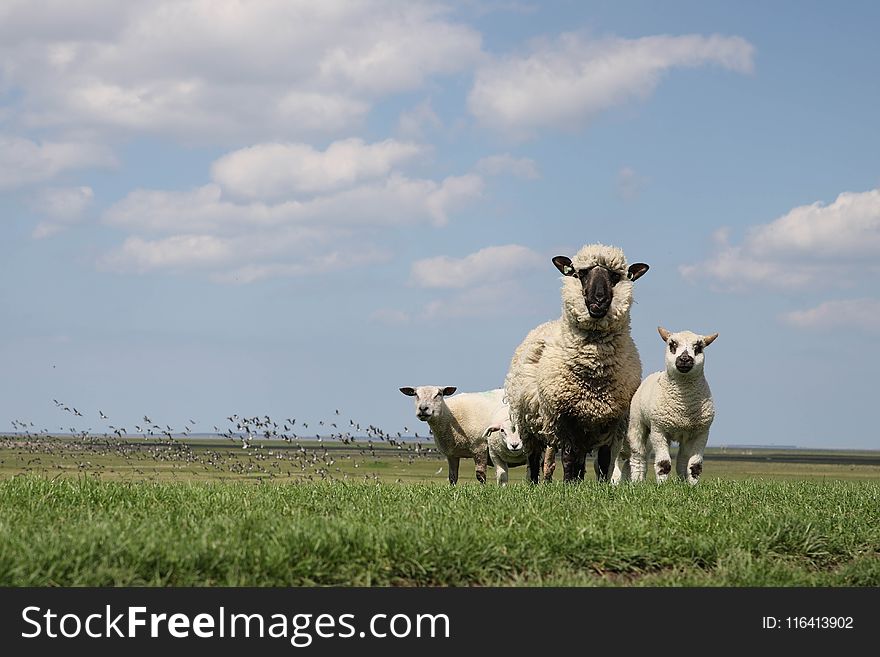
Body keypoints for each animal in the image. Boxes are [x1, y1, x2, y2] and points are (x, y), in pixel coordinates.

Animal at [502, 243, 648, 480]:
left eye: (615, 276)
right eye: (580, 274)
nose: (599, 300)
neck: (594, 370)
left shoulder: (611, 420)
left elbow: (604, 461)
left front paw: (599, 485)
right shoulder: (564, 417)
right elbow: (568, 457)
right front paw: (568, 484)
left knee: (581, 460)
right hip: (528, 424)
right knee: (534, 458)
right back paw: (534, 482)